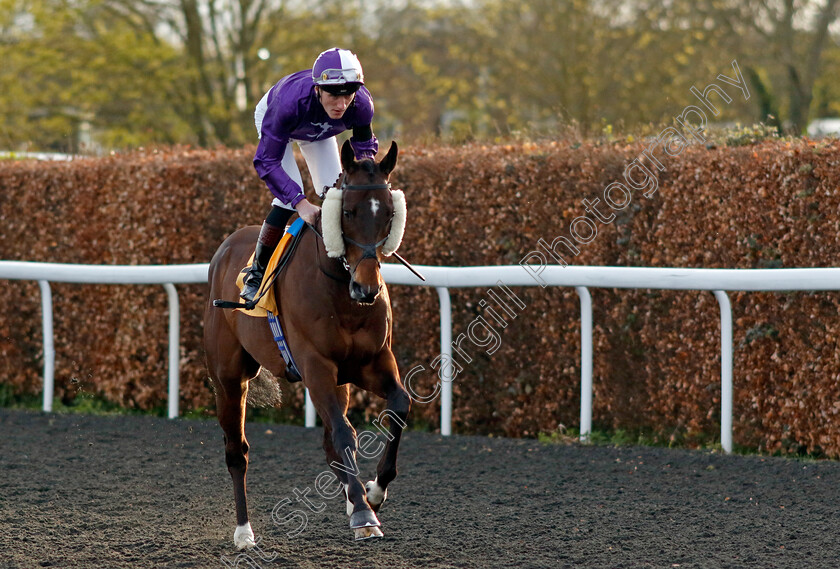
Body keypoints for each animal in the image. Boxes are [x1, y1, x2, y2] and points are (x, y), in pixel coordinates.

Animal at [205, 139, 412, 544]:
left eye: (389, 214)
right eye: (347, 212)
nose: (367, 289)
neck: (341, 291)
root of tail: (226, 248)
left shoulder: (372, 362)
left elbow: (398, 406)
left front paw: (373, 492)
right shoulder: (316, 365)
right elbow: (344, 434)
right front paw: (363, 512)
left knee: (332, 441)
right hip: (228, 378)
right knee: (237, 451)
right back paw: (243, 532)